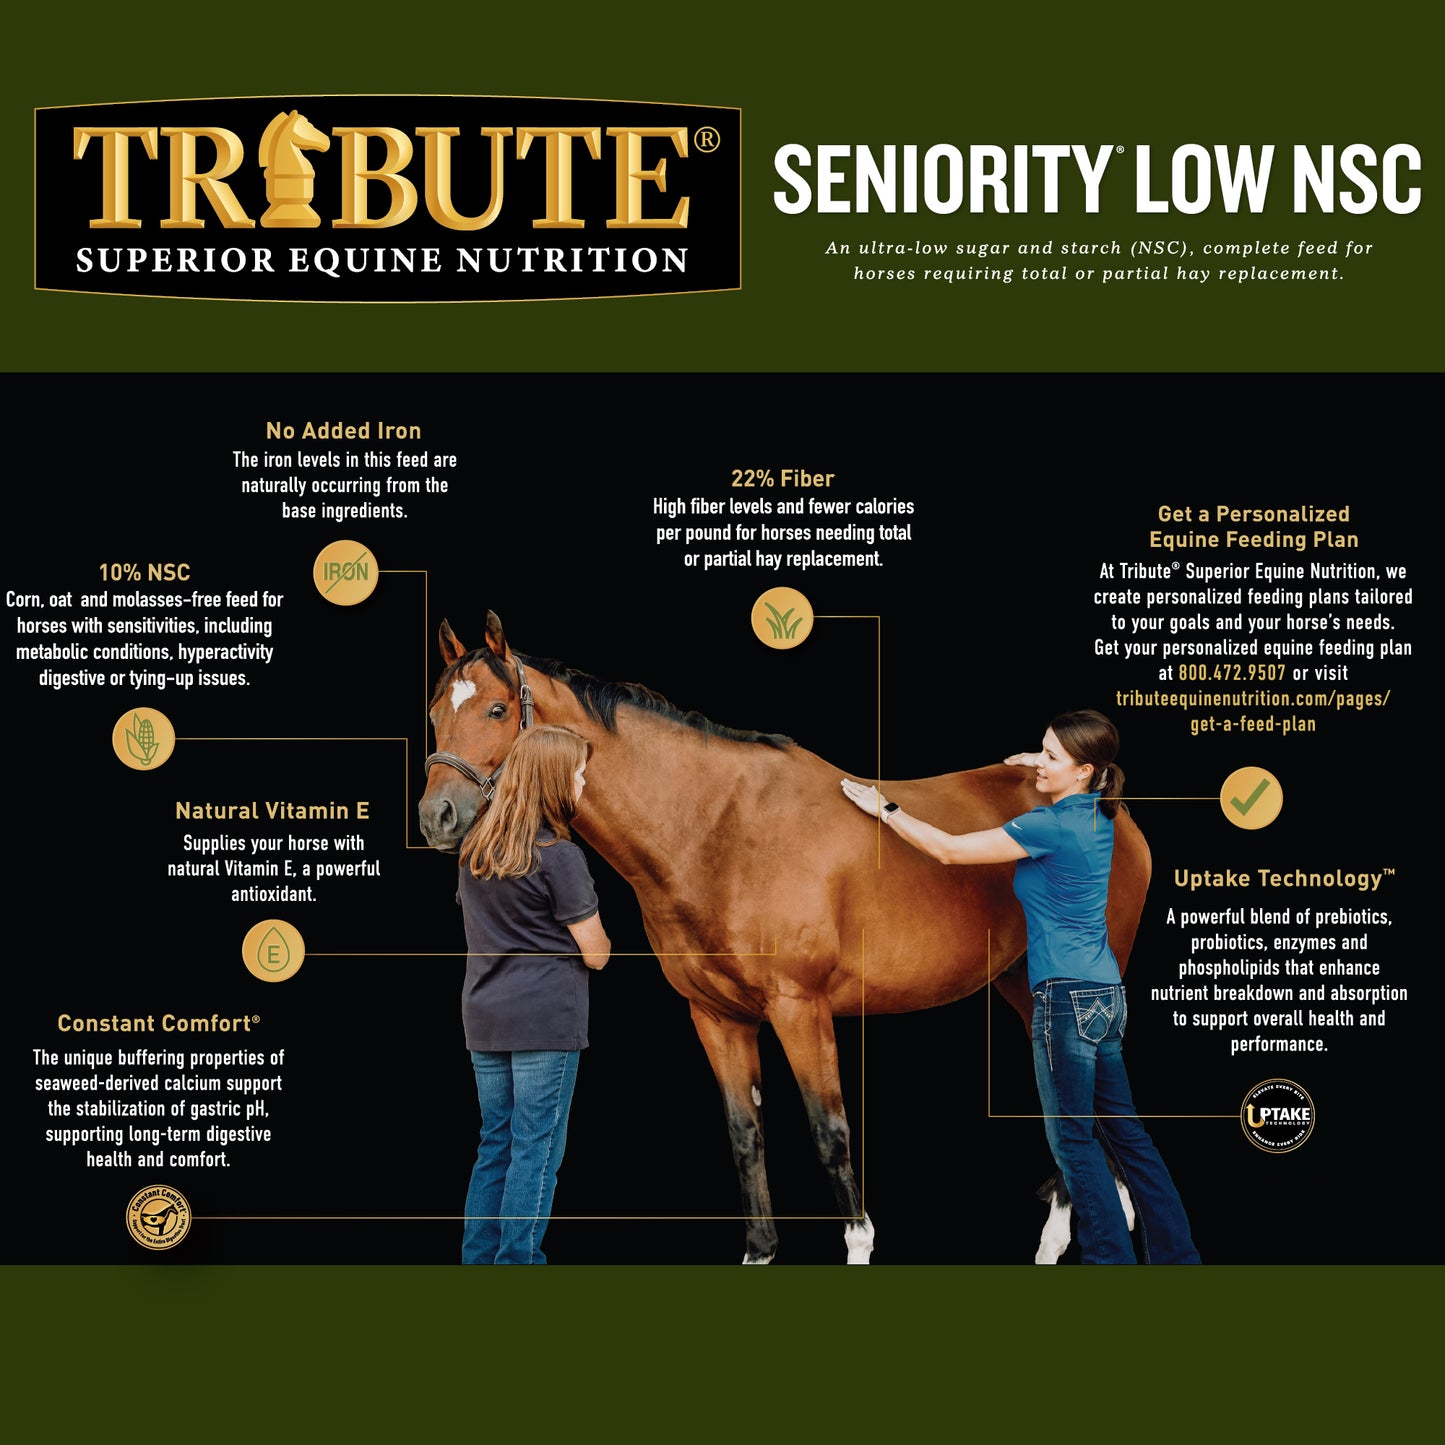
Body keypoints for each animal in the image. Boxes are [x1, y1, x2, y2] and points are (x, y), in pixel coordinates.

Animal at [418, 612, 1152, 1263]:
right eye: (433, 714)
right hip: (1022, 986)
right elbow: (746, 1133)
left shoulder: (801, 1009)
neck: (718, 827)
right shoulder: (715, 1016)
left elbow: (830, 1133)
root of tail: (1108, 804)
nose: (437, 817)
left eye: (495, 710)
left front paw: (858, 1247)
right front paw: (760, 1251)